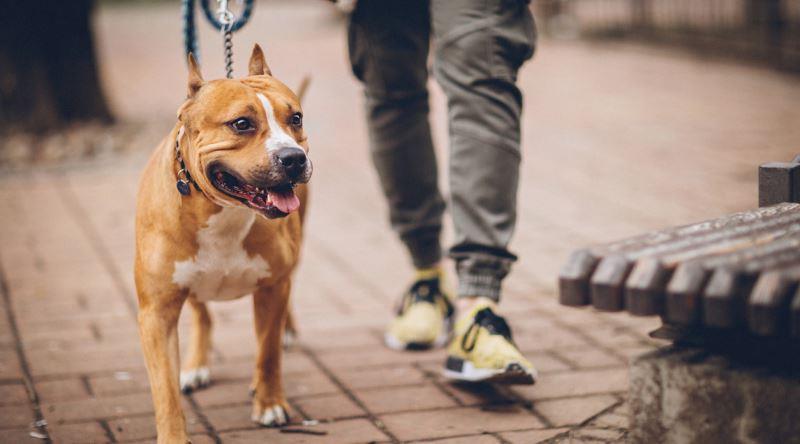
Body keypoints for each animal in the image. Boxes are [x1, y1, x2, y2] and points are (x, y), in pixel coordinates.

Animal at [134, 46, 310, 444]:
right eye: (241, 124)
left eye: (295, 118)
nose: (294, 158)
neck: (225, 214)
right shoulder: (156, 312)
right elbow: (164, 390)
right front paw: (173, 435)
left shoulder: (272, 287)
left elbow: (268, 354)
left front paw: (269, 404)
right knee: (202, 314)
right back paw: (196, 365)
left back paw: (288, 331)